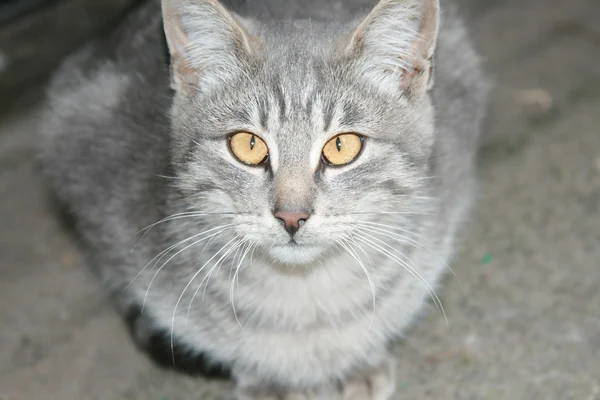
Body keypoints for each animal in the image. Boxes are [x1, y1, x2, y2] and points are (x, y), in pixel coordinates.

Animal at [37, 0, 490, 396]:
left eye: (342, 146)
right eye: (248, 145)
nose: (291, 216)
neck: (305, 296)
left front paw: (358, 359)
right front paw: (267, 378)